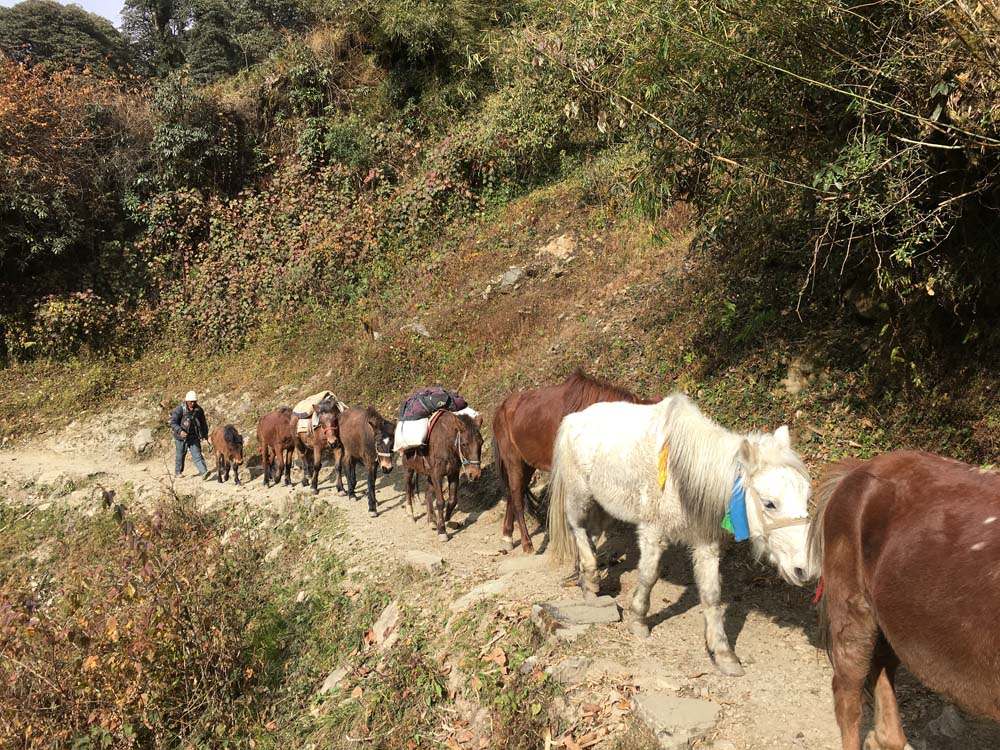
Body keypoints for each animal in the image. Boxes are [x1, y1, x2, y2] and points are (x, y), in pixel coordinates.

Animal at [402, 412, 488, 540]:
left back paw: (431, 520)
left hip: (429, 474)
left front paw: (446, 518)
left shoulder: (453, 474)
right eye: (464, 444)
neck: (447, 444)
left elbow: (452, 500)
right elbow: (440, 502)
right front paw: (442, 530)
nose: (475, 474)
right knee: (408, 489)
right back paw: (410, 515)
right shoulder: (437, 475)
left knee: (427, 492)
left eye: (481, 442)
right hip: (409, 468)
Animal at [492, 370, 656, 552]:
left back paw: (507, 536)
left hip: (527, 464)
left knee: (514, 493)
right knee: (516, 497)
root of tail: (501, 409)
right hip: (513, 460)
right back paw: (526, 543)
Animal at [548, 396, 812, 680]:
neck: (683, 478)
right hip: (580, 496)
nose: (803, 569)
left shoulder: (706, 543)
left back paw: (588, 582)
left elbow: (711, 593)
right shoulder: (653, 532)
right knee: (577, 527)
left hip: (603, 505)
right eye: (769, 503)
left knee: (592, 534)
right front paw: (638, 620)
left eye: (806, 496)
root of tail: (574, 419)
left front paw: (722, 654)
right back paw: (591, 577)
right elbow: (648, 576)